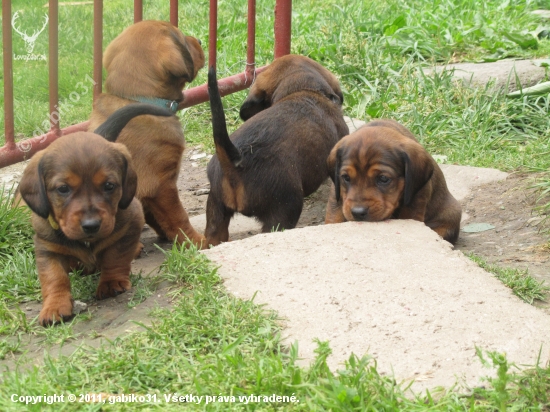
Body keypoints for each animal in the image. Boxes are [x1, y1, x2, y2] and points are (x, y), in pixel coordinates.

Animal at [17, 104, 170, 326]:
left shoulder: (130, 223)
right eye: (63, 189)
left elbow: (115, 256)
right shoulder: (47, 247)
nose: (91, 225)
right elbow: (54, 278)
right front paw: (54, 306)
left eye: (109, 185)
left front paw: (111, 282)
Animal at [87, 20, 206, 248]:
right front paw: (196, 242)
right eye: (184, 41)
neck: (136, 99)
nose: (200, 40)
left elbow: (155, 217)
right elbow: (179, 217)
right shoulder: (160, 185)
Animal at [326, 117, 464, 243]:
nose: (358, 212)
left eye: (383, 178)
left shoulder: (415, 202)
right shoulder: (336, 196)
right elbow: (334, 216)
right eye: (346, 178)